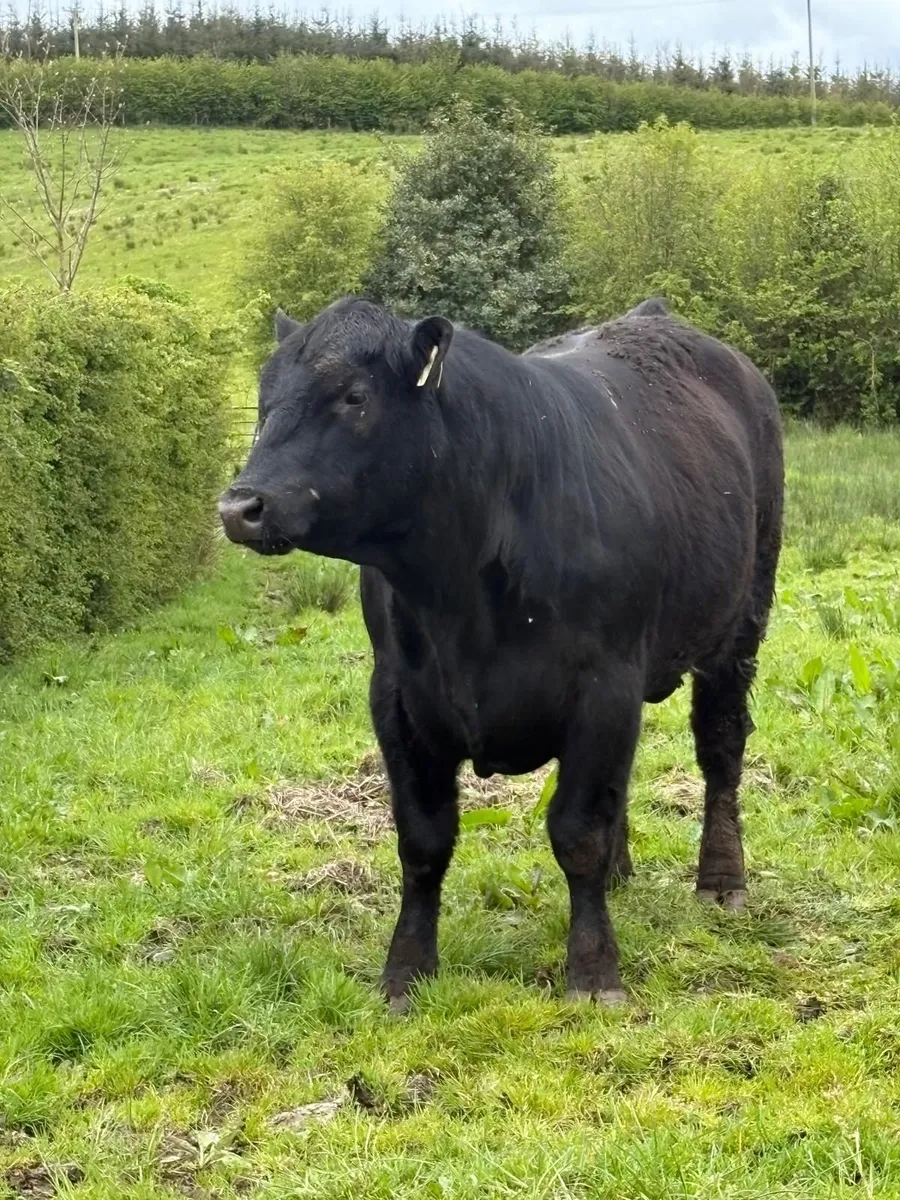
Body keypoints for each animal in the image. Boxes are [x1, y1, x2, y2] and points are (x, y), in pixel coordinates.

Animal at [219, 295, 784, 1010]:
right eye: (265, 400)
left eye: (354, 395)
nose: (241, 506)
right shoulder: (398, 698)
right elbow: (423, 840)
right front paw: (405, 973)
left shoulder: (603, 686)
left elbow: (578, 832)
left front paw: (594, 972)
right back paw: (624, 873)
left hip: (740, 624)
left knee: (720, 750)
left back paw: (721, 879)